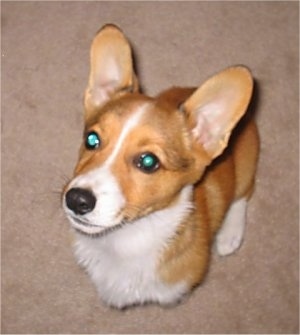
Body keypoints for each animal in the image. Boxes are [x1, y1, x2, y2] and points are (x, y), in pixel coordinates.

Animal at [62, 24, 258, 310]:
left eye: (148, 162)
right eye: (91, 139)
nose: (76, 200)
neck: (125, 240)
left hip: (245, 167)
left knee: (243, 194)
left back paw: (229, 235)